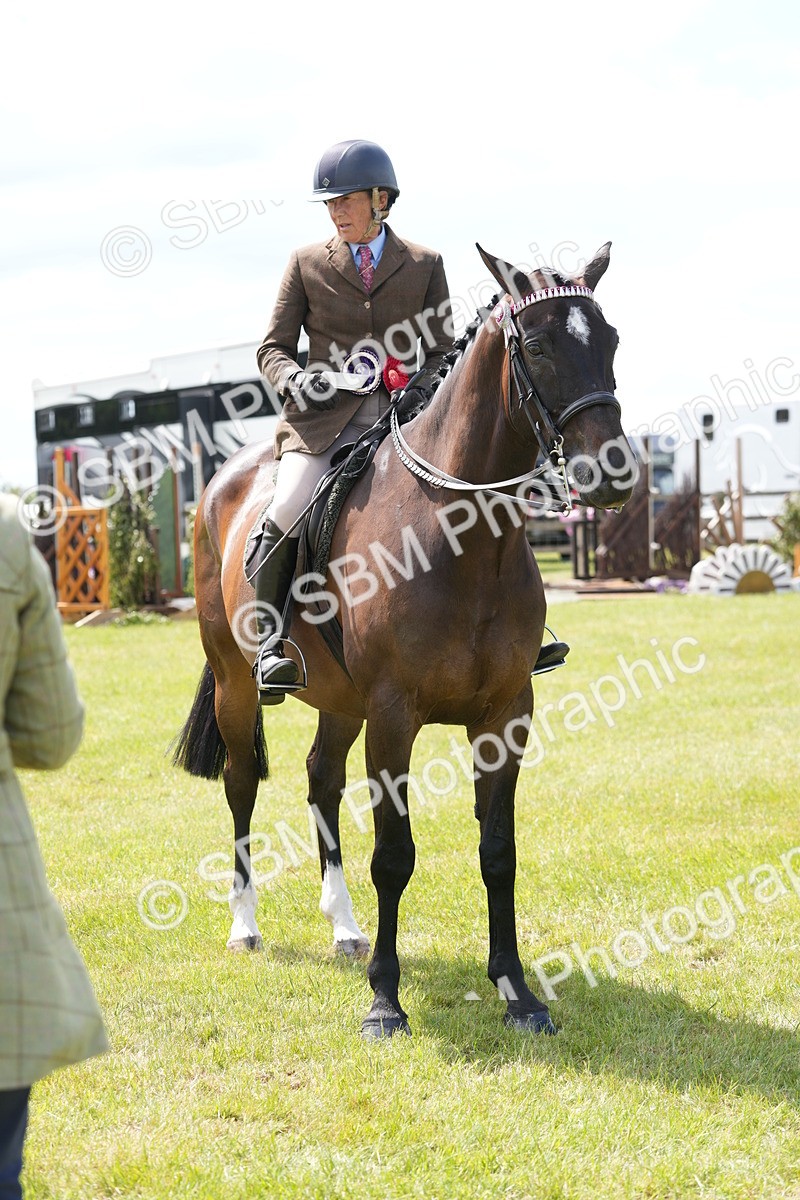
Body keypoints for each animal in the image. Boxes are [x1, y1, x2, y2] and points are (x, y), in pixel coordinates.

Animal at [174, 242, 636, 1038]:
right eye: (538, 346)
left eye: (608, 340)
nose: (609, 475)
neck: (463, 540)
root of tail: (223, 479)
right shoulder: (395, 715)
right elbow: (394, 855)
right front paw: (384, 1003)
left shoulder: (505, 716)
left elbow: (498, 852)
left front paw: (517, 992)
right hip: (238, 682)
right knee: (242, 786)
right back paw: (246, 926)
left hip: (339, 700)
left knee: (320, 780)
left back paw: (344, 927)